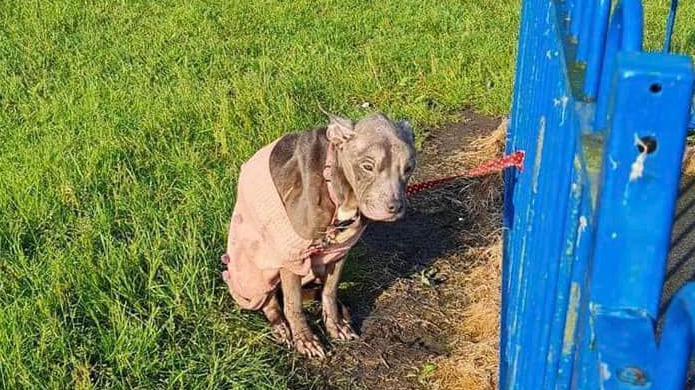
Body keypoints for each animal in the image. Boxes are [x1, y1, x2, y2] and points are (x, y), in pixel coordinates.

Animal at [223, 109, 416, 356]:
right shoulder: (292, 258)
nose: (395, 207)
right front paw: (305, 340)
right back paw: (281, 327)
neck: (337, 188)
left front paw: (335, 325)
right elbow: (293, 304)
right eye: (367, 166)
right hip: (256, 273)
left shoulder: (339, 252)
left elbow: (330, 291)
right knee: (270, 302)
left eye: (408, 168)